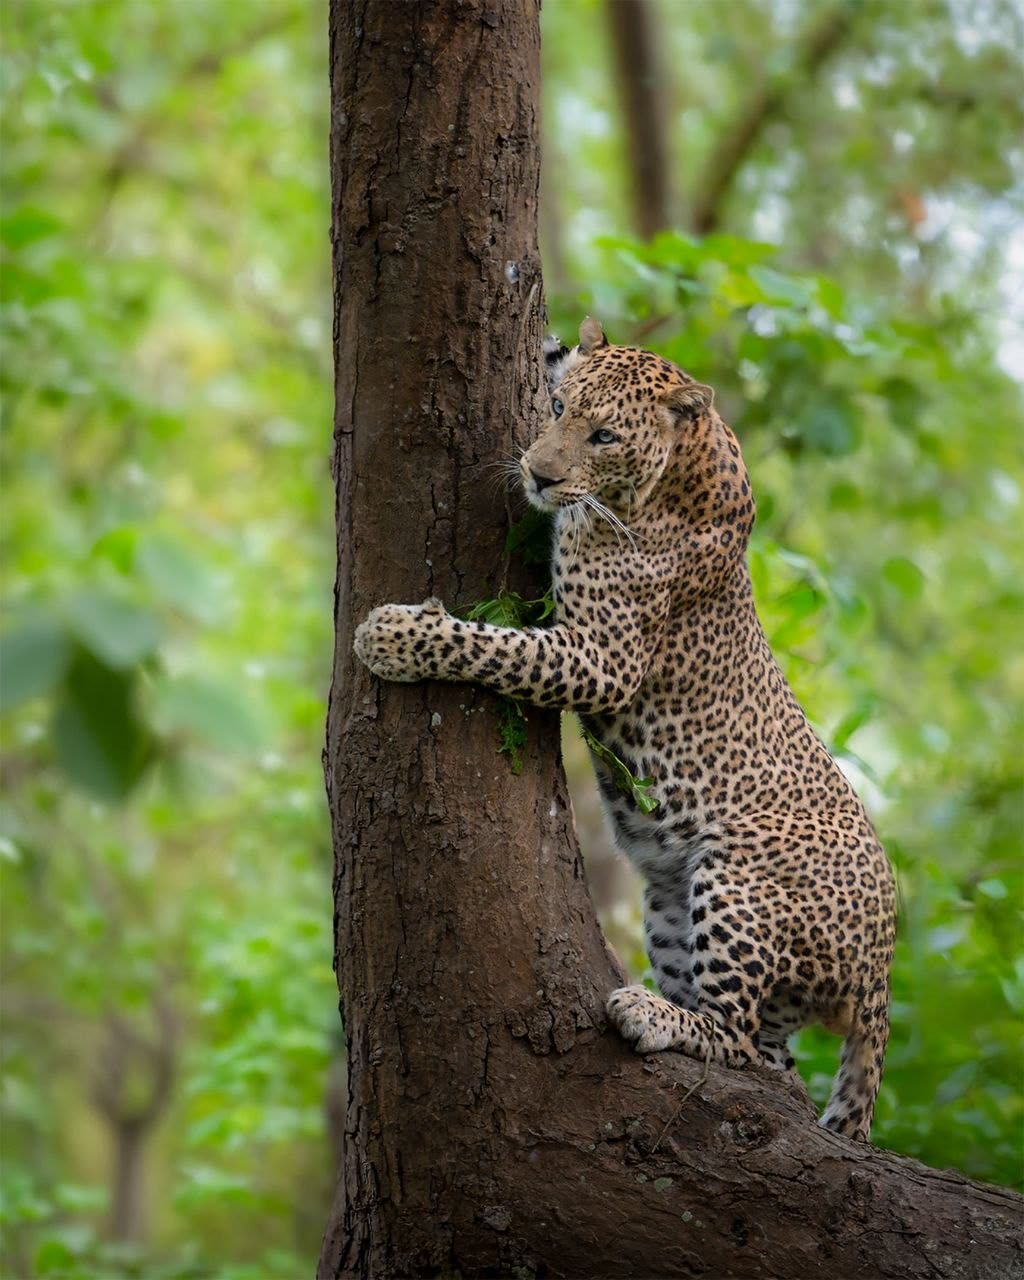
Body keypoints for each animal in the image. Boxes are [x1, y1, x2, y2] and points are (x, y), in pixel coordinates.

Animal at [354, 317, 897, 1142]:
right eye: (556, 408)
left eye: (604, 435)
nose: (537, 474)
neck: (681, 465)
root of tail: (882, 975)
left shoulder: (602, 657)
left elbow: (494, 648)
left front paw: (391, 636)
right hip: (672, 906)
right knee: (776, 1066)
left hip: (736, 882)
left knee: (739, 1038)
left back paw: (649, 1013)